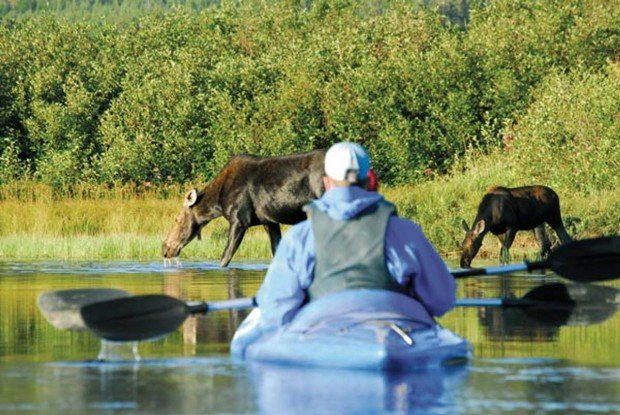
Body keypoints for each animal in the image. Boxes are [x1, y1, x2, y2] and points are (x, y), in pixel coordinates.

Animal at [161, 151, 324, 268]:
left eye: (177, 219)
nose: (165, 248)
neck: (218, 203)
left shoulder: (239, 220)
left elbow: (225, 257)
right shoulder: (269, 221)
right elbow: (276, 251)